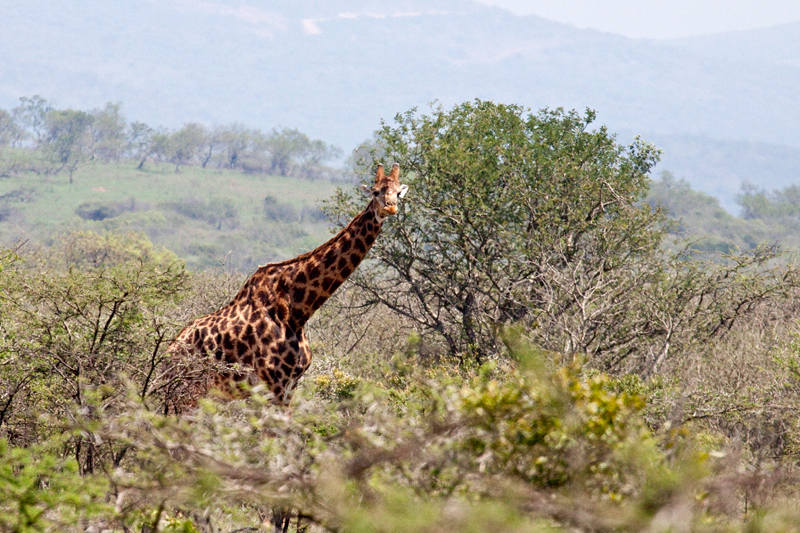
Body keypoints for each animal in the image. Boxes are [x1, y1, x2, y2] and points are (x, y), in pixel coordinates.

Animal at [165, 162, 410, 412]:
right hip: (186, 391)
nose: (390, 207)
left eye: (398, 192)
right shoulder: (272, 385)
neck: (299, 309)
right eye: (375, 191)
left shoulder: (290, 386)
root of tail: (169, 352)